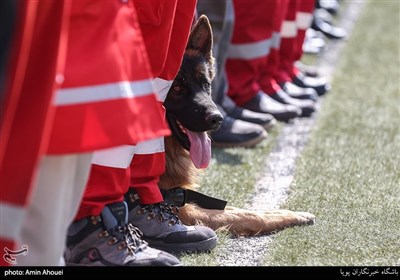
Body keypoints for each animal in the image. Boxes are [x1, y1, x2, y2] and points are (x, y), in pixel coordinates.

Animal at [161, 14, 314, 234]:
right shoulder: (181, 210)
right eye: (177, 88)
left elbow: (239, 209)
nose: (218, 119)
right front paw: (286, 217)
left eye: (206, 84)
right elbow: (247, 216)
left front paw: (283, 212)